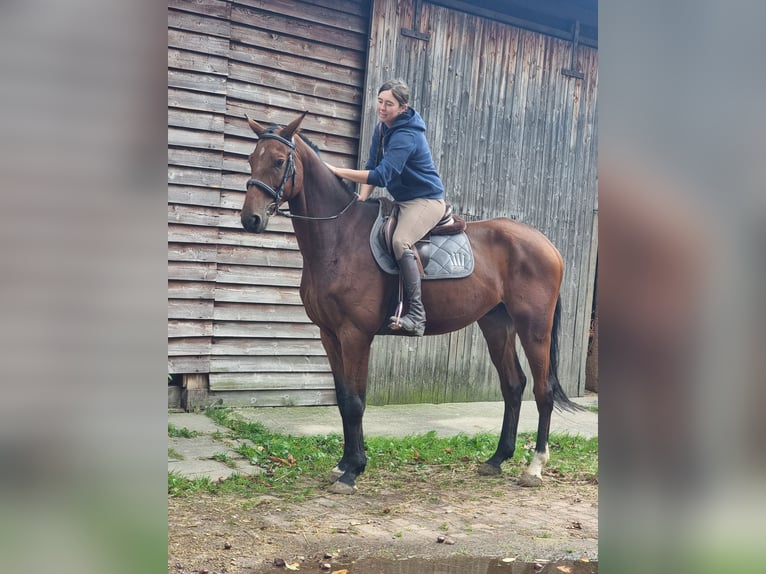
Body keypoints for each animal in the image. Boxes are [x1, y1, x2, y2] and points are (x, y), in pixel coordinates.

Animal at [240, 111, 584, 496]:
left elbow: (356, 402)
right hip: (496, 324)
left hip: (533, 327)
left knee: (542, 390)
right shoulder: (329, 334)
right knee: (513, 385)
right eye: (251, 159)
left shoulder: (355, 335)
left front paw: (352, 470)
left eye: (278, 161)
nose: (250, 219)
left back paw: (534, 466)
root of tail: (548, 245)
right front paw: (344, 464)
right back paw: (497, 459)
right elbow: (343, 399)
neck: (339, 237)